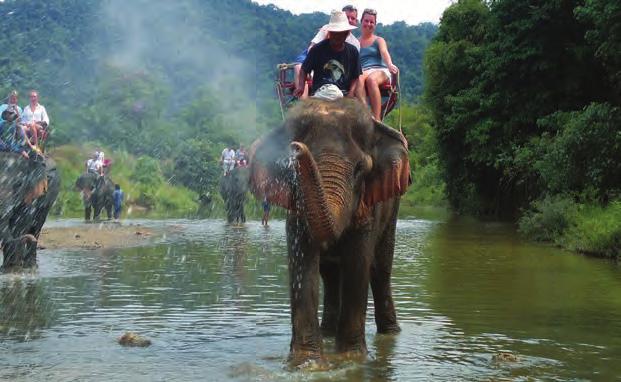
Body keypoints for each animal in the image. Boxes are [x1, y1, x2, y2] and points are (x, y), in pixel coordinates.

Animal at [247, 98, 412, 364]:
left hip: (393, 207)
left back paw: (390, 333)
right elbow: (304, 264)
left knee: (380, 269)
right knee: (331, 274)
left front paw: (350, 359)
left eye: (359, 169)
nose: (296, 147)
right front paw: (306, 363)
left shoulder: (369, 207)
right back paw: (327, 332)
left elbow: (358, 262)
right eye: (291, 169)